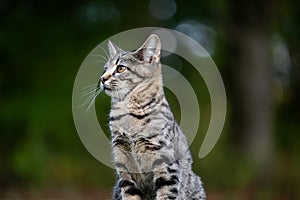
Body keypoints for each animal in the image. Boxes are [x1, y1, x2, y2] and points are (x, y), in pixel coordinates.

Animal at [97, 34, 205, 200]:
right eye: (105, 69)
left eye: (120, 68)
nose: (102, 79)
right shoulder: (123, 164)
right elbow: (130, 194)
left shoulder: (165, 165)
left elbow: (166, 194)